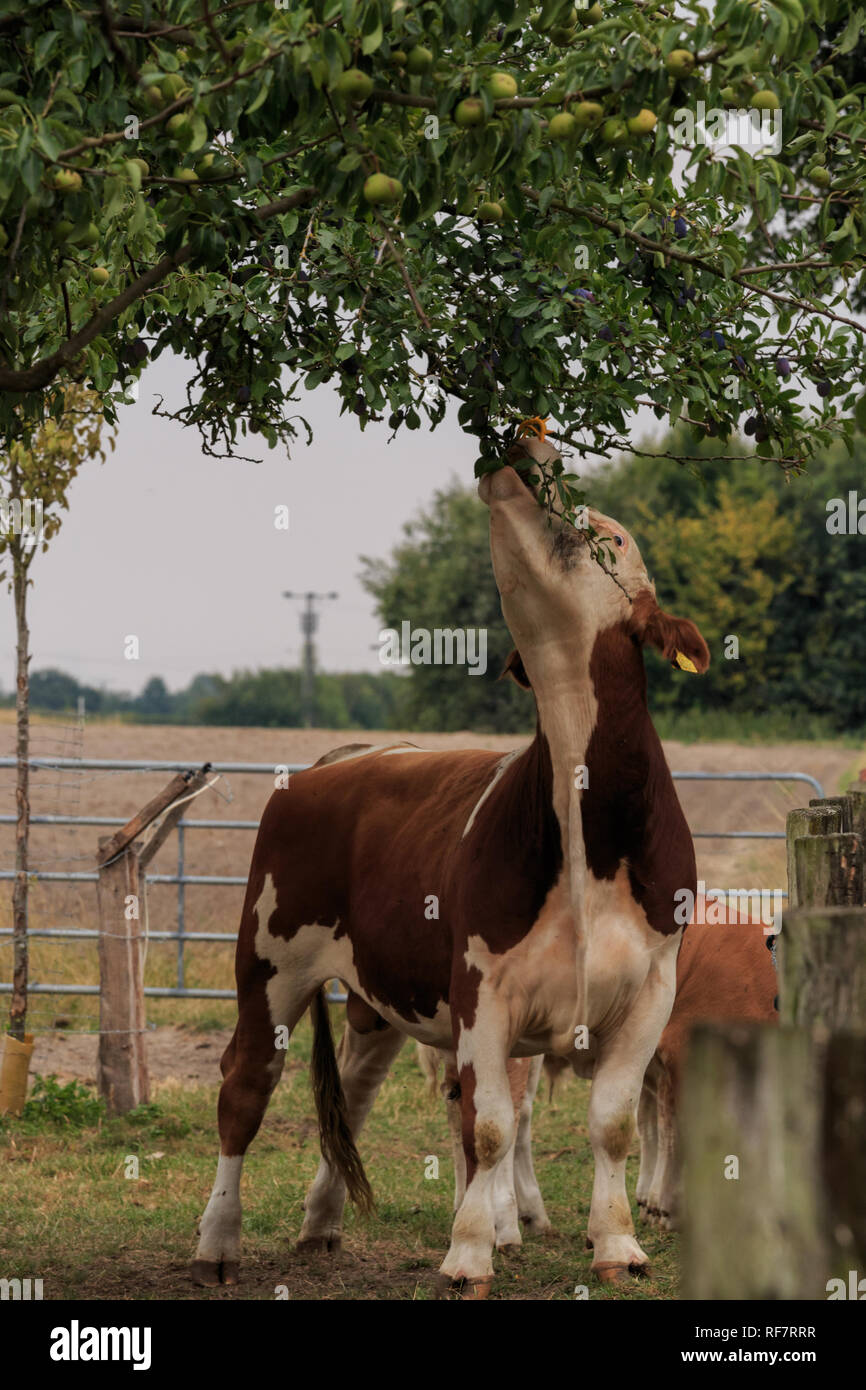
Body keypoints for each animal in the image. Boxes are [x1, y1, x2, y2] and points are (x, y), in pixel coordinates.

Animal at [193, 436, 708, 1289]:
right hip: (269, 961)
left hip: (377, 995)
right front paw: (469, 1253)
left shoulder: (651, 989)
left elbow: (610, 1125)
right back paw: (217, 1242)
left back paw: (321, 1225)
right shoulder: (482, 993)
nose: (533, 440)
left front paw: (617, 1245)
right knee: (245, 1087)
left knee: (354, 1096)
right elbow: (491, 1128)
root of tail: (349, 758)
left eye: (610, 533)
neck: (587, 839)